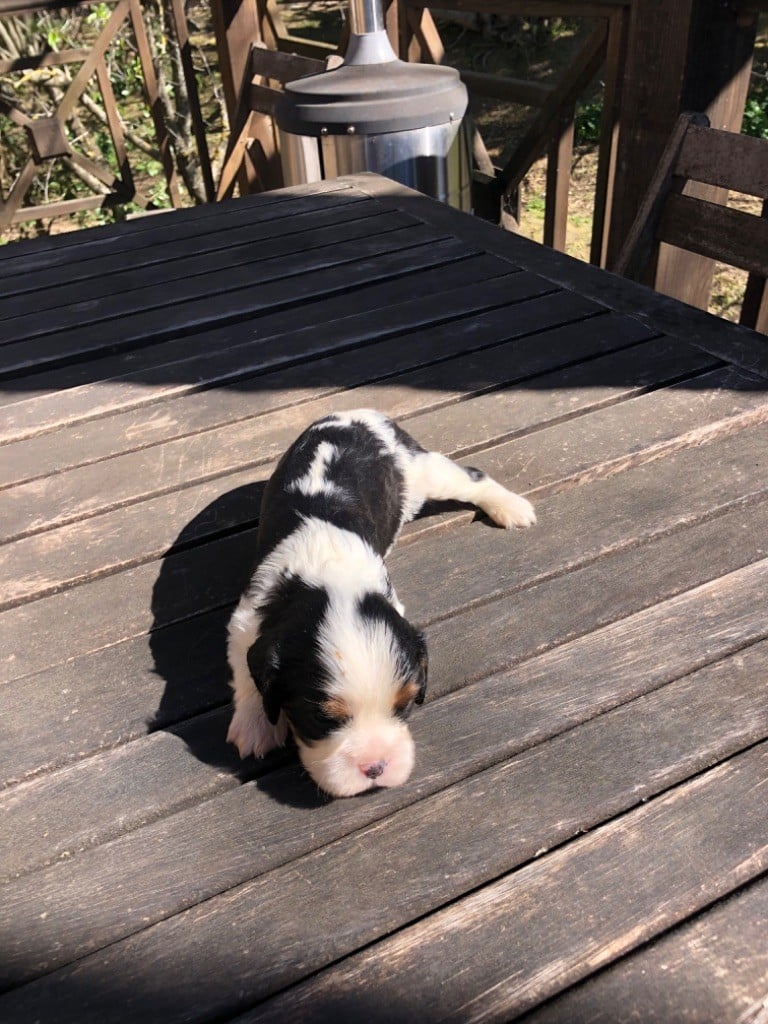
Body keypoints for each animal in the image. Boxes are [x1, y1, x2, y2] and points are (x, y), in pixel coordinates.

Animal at [226, 409, 535, 797]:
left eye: (405, 705)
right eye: (321, 718)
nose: (375, 767)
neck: (329, 576)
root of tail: (356, 414)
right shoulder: (247, 619)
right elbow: (245, 673)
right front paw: (257, 726)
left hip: (422, 471)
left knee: (473, 476)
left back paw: (512, 507)